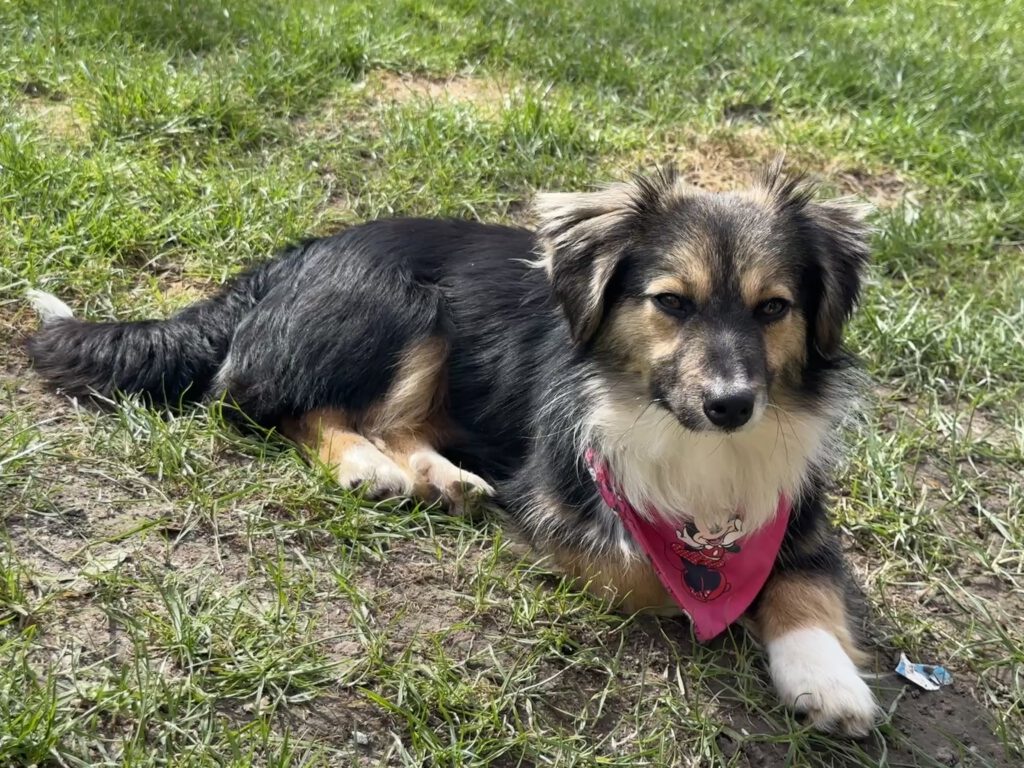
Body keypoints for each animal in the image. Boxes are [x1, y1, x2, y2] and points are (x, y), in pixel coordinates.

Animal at [26, 161, 878, 735]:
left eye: (774, 308)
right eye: (671, 303)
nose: (732, 404)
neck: (671, 423)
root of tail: (294, 255)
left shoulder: (798, 504)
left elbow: (807, 579)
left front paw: (829, 680)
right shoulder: (560, 503)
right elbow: (650, 572)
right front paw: (716, 599)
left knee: (390, 422)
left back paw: (443, 475)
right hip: (404, 306)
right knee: (272, 403)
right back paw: (366, 463)